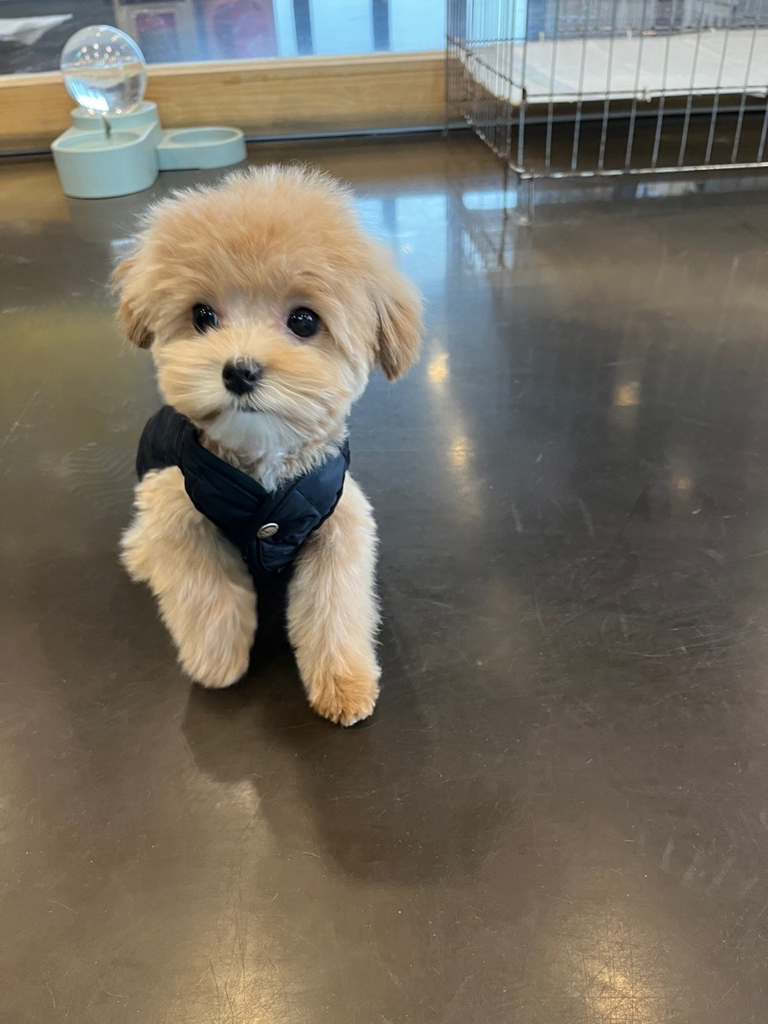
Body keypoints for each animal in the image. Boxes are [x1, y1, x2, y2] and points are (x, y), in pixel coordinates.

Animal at [114, 166, 422, 725]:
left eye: (303, 320)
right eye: (202, 315)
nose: (238, 370)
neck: (263, 468)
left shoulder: (338, 522)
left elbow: (335, 605)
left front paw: (343, 680)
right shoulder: (176, 508)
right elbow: (206, 591)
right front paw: (217, 660)